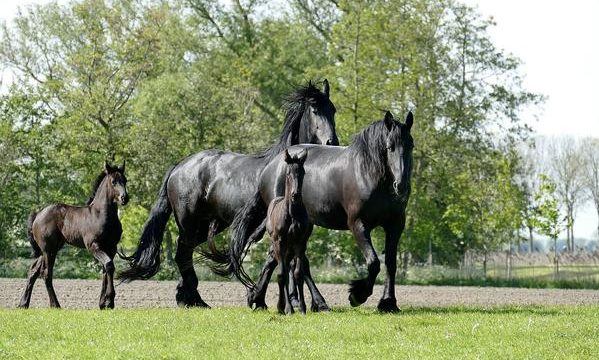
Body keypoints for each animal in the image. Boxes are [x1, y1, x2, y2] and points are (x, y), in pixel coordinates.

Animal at [18, 162, 129, 308]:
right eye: (113, 181)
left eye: (125, 180)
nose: (125, 198)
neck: (101, 215)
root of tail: (38, 214)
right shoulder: (93, 246)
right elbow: (109, 265)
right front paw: (109, 302)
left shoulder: (111, 247)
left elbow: (106, 270)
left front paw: (103, 303)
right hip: (49, 250)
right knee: (46, 274)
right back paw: (55, 305)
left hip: (50, 249)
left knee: (33, 271)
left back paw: (23, 304)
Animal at [268, 149, 312, 316]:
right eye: (288, 173)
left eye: (303, 172)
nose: (295, 195)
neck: (292, 214)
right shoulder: (280, 242)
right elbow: (282, 274)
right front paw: (287, 308)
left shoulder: (300, 243)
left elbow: (298, 274)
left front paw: (303, 308)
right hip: (279, 246)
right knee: (283, 272)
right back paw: (282, 307)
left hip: (290, 249)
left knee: (288, 269)